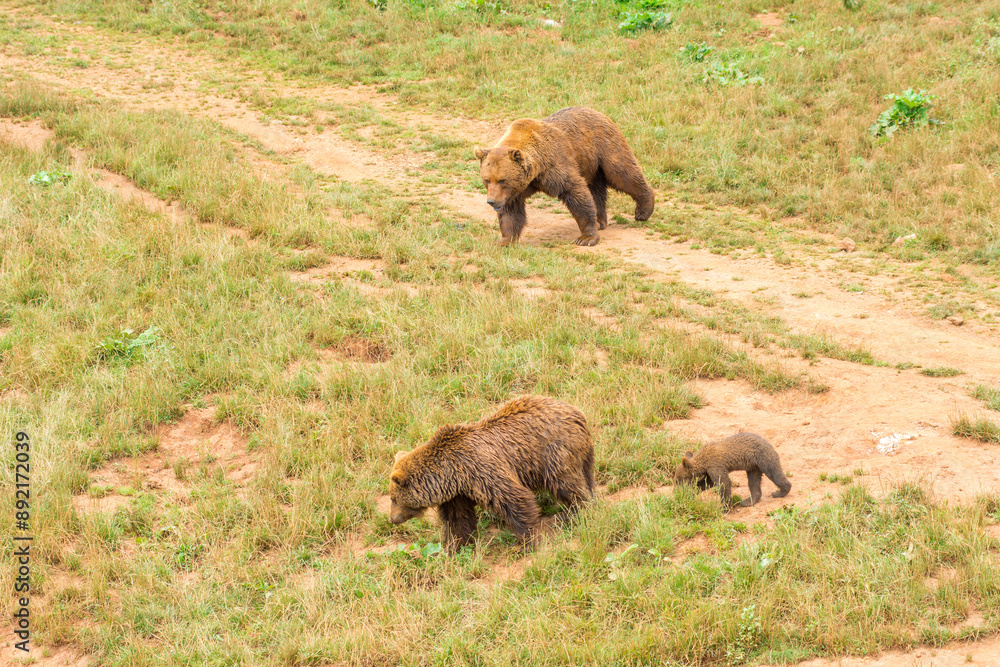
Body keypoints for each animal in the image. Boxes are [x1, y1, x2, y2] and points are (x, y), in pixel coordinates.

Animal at [388, 395, 595, 552]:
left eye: (393, 498)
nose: (392, 519)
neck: (451, 474)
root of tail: (578, 414)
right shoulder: (458, 494)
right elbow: (458, 520)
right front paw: (455, 548)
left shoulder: (482, 471)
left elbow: (515, 499)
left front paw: (526, 541)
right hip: (581, 455)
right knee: (586, 478)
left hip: (554, 452)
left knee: (566, 483)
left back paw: (576, 512)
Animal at [474, 106, 655, 247]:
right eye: (487, 180)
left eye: (502, 180)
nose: (492, 201)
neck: (536, 169)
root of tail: (599, 112)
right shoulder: (517, 189)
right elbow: (511, 212)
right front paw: (504, 240)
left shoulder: (555, 167)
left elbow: (576, 193)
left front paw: (586, 238)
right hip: (590, 164)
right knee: (597, 189)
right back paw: (601, 220)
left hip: (605, 148)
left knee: (623, 174)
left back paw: (643, 210)